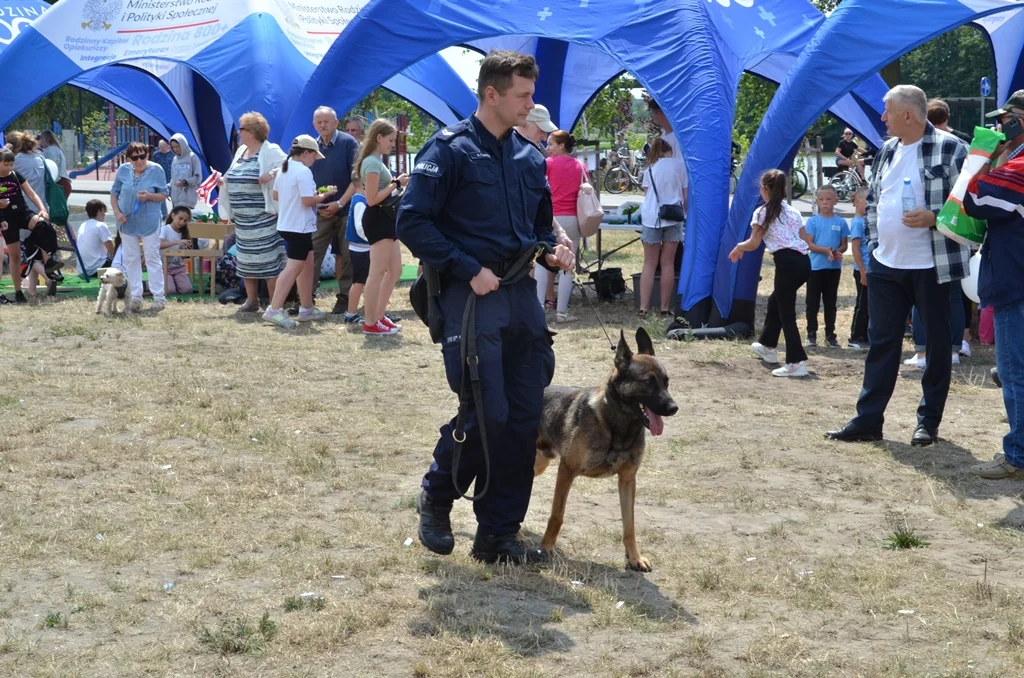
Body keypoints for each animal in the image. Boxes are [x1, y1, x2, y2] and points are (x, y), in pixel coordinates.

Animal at [532, 327, 675, 569]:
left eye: (666, 382)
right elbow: (557, 515)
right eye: (648, 381)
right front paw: (546, 547)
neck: (617, 424)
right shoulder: (566, 470)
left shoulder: (628, 479)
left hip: (538, 464)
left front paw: (634, 557)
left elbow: (629, 524)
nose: (674, 408)